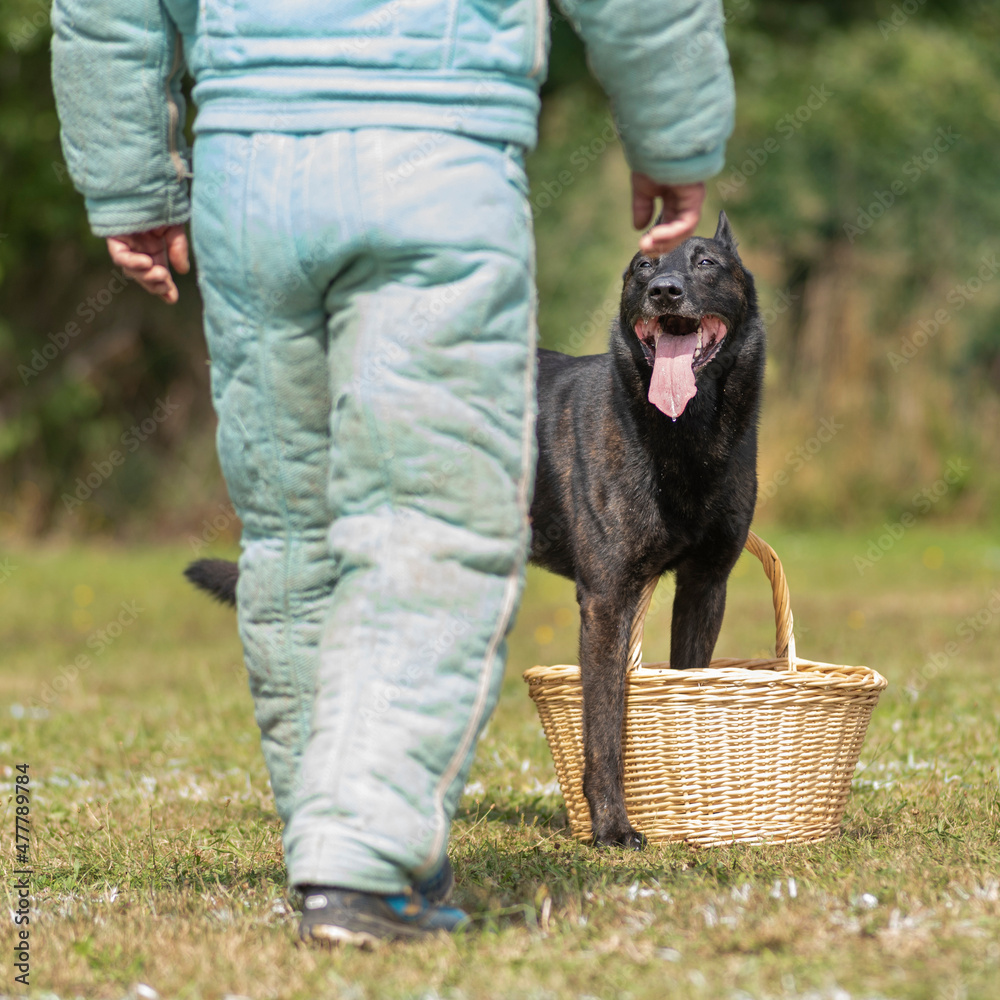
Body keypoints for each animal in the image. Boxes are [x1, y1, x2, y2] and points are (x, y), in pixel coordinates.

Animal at [186, 211, 764, 852]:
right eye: (642, 266)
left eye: (706, 262)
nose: (664, 291)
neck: (682, 436)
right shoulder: (607, 599)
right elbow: (604, 730)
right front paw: (612, 827)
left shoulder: (704, 586)